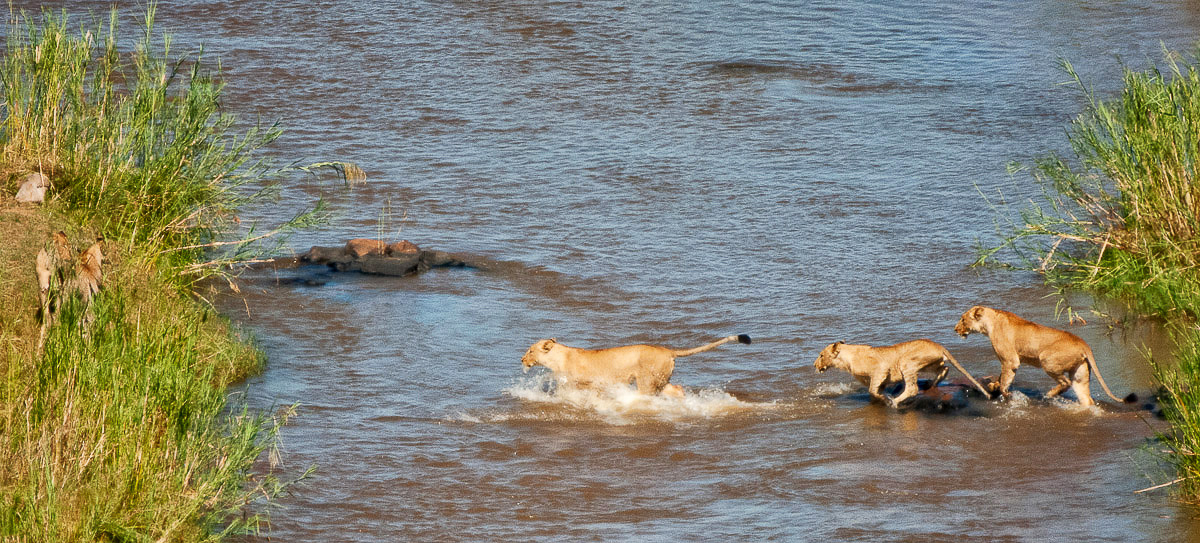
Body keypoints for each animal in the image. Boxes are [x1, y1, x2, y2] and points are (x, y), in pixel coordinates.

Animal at [521, 334, 752, 395]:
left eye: (530, 350)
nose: (521, 359)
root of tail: (667, 350)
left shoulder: (577, 384)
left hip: (646, 381)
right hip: (660, 380)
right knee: (677, 389)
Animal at [813, 339, 990, 407]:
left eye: (821, 355)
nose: (815, 365)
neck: (847, 359)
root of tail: (939, 345)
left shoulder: (881, 369)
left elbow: (873, 389)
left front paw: (886, 399)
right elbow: (874, 390)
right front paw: (881, 397)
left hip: (907, 362)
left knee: (912, 388)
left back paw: (896, 402)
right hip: (929, 363)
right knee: (944, 369)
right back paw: (931, 384)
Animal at [954, 305, 1125, 406]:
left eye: (962, 319)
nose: (955, 329)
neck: (989, 323)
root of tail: (1083, 343)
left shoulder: (1011, 360)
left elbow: (1005, 380)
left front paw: (1007, 395)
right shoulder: (1008, 361)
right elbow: (1001, 377)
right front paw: (993, 385)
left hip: (1047, 360)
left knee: (1066, 382)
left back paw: (1049, 394)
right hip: (1080, 373)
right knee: (1085, 397)